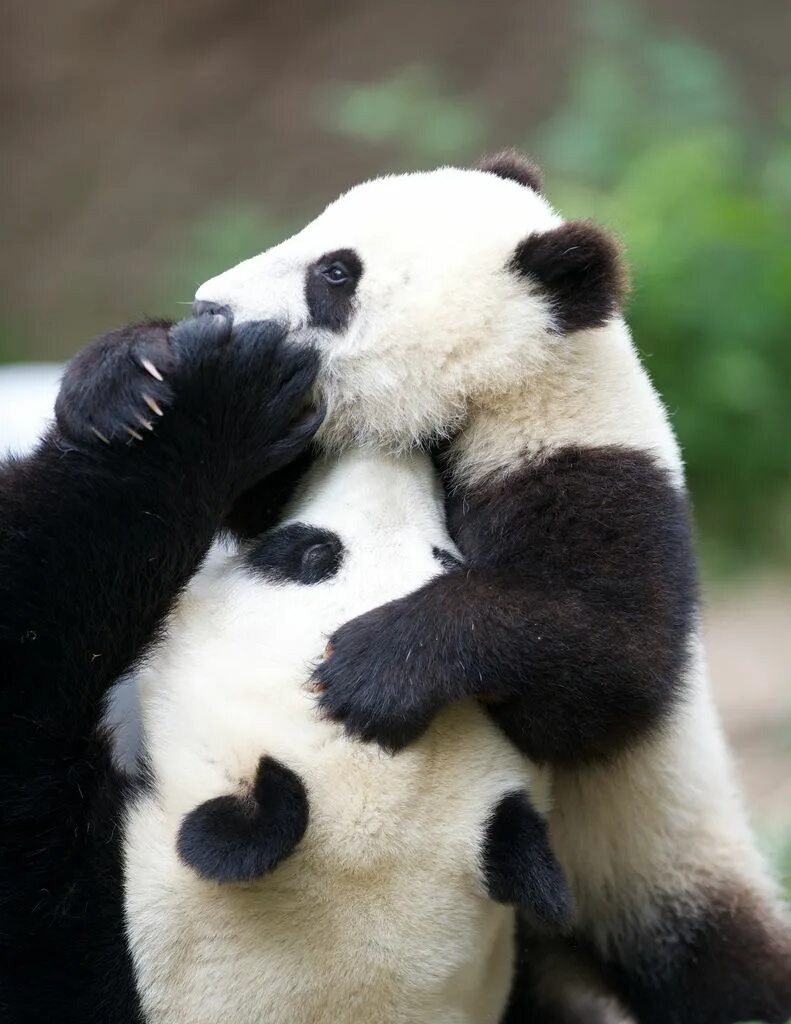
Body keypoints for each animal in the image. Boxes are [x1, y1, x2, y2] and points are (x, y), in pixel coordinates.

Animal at [195, 150, 791, 1024]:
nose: (210, 306)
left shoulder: (597, 476)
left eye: (335, 274)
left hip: (656, 860)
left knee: (723, 969)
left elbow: (603, 667)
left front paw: (370, 672)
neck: (507, 387)